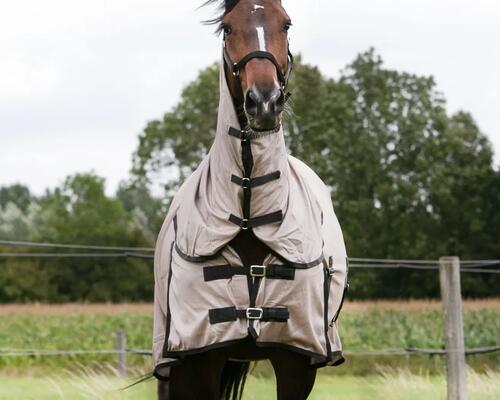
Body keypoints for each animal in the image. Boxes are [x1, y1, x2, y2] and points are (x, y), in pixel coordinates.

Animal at [153, 0, 348, 400]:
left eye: (285, 23)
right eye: (227, 28)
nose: (264, 102)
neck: (247, 215)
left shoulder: (297, 362)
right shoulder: (201, 358)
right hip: (175, 368)